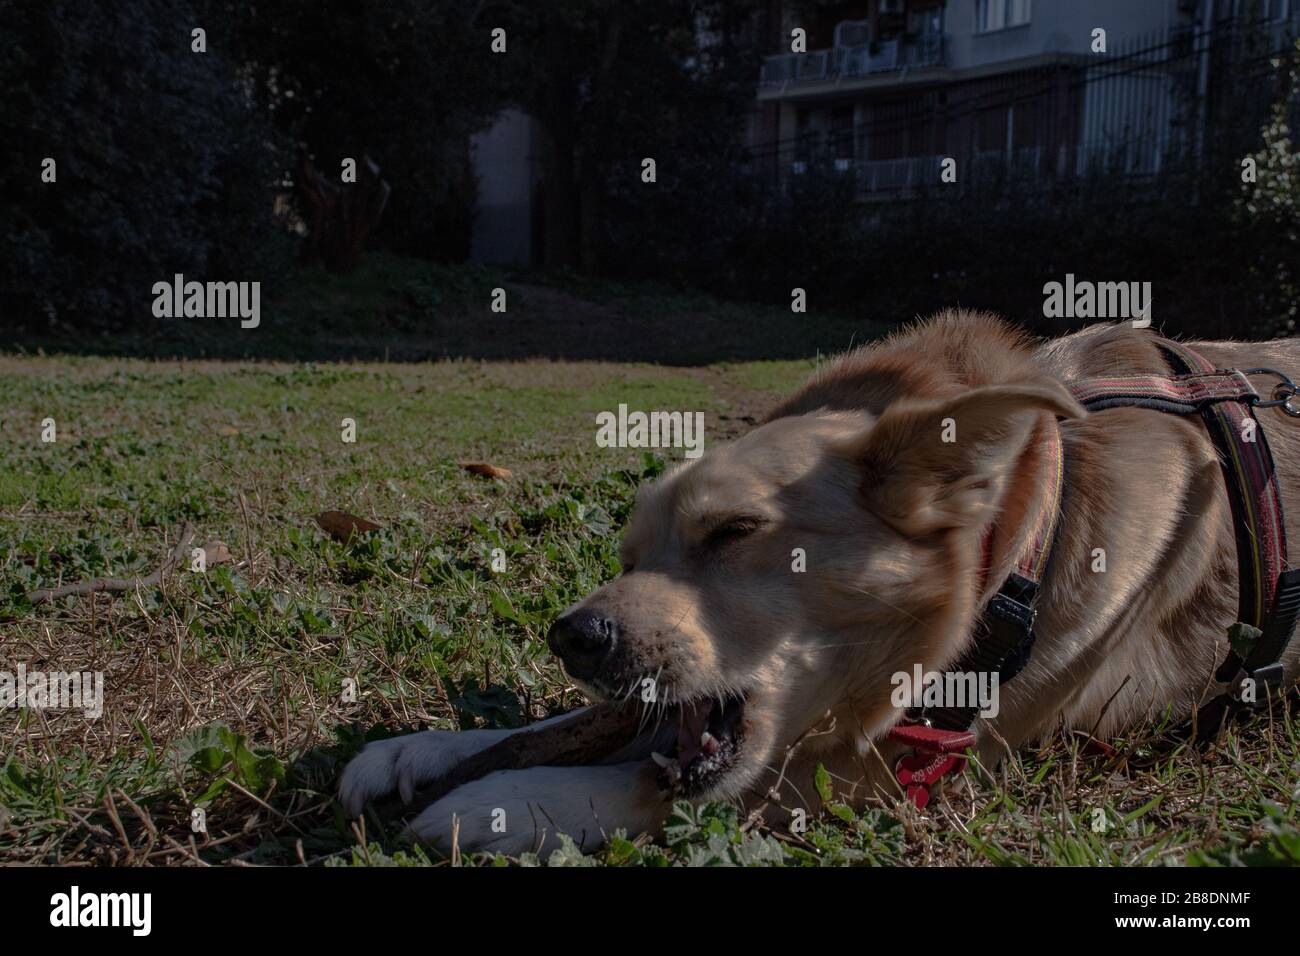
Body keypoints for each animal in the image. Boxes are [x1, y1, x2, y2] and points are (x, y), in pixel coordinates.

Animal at [343, 314, 1300, 858]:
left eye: (733, 532)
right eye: (628, 556)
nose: (572, 636)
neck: (1019, 538)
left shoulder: (901, 770)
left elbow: (664, 784)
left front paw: (501, 804)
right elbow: (576, 724)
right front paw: (423, 749)